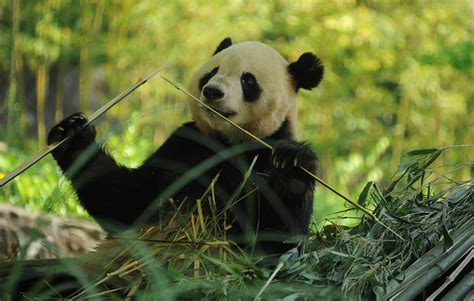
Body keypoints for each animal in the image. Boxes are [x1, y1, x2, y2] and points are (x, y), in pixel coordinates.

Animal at [47, 38, 322, 253]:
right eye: (212, 72)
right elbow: (128, 201)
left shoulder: (263, 150)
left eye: (248, 80)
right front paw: (72, 135)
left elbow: (279, 236)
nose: (212, 91)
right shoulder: (184, 144)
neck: (226, 142)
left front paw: (292, 167)